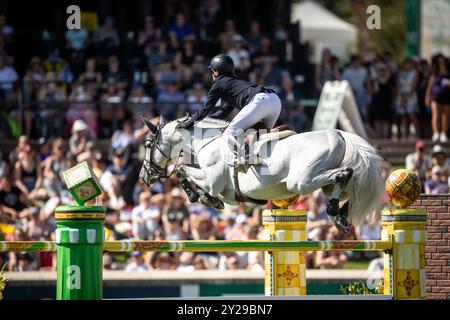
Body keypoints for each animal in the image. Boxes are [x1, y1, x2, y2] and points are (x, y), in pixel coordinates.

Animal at [140, 116, 384, 231]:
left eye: (148, 144)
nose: (144, 176)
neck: (205, 141)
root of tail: (340, 134)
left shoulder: (211, 181)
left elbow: (182, 170)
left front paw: (199, 196)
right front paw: (204, 198)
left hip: (302, 182)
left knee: (344, 174)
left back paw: (335, 213)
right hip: (322, 184)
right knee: (346, 185)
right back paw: (340, 216)